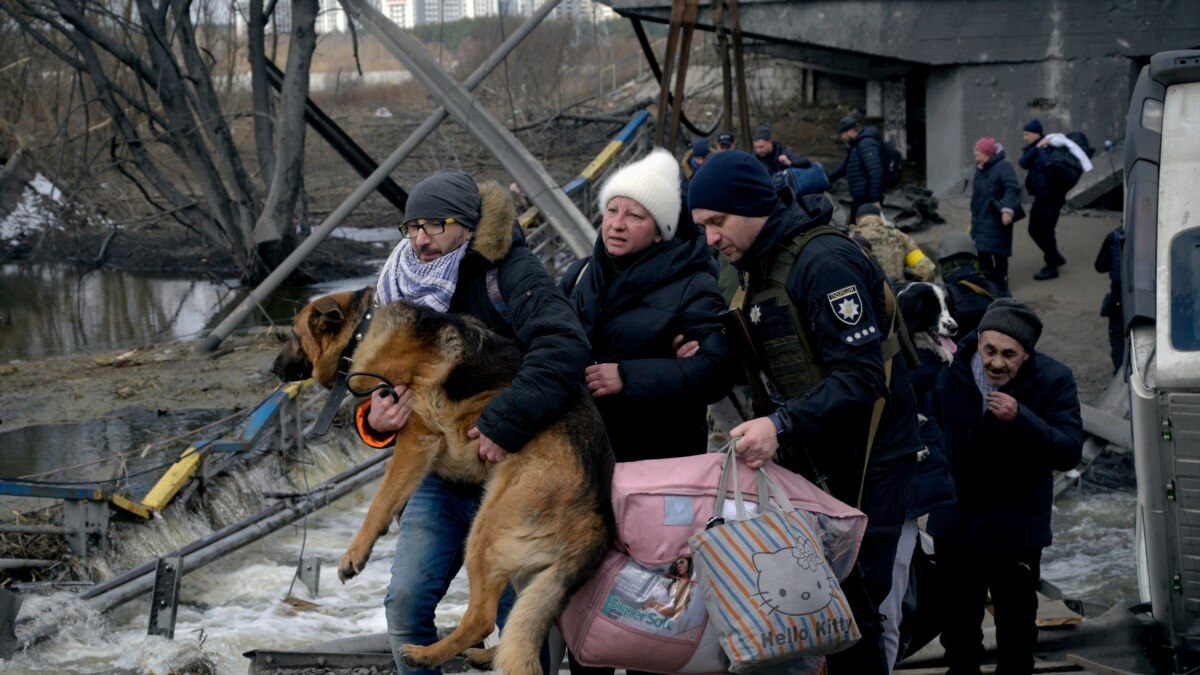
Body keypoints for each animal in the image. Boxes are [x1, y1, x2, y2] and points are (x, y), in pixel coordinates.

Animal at [271, 285, 609, 667]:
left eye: (294, 335)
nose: (273, 368)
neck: (363, 329)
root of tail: (597, 515)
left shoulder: (415, 439)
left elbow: (380, 501)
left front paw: (355, 554)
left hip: (485, 531)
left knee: (483, 618)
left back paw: (426, 654)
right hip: (525, 568)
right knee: (525, 625)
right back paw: (487, 654)